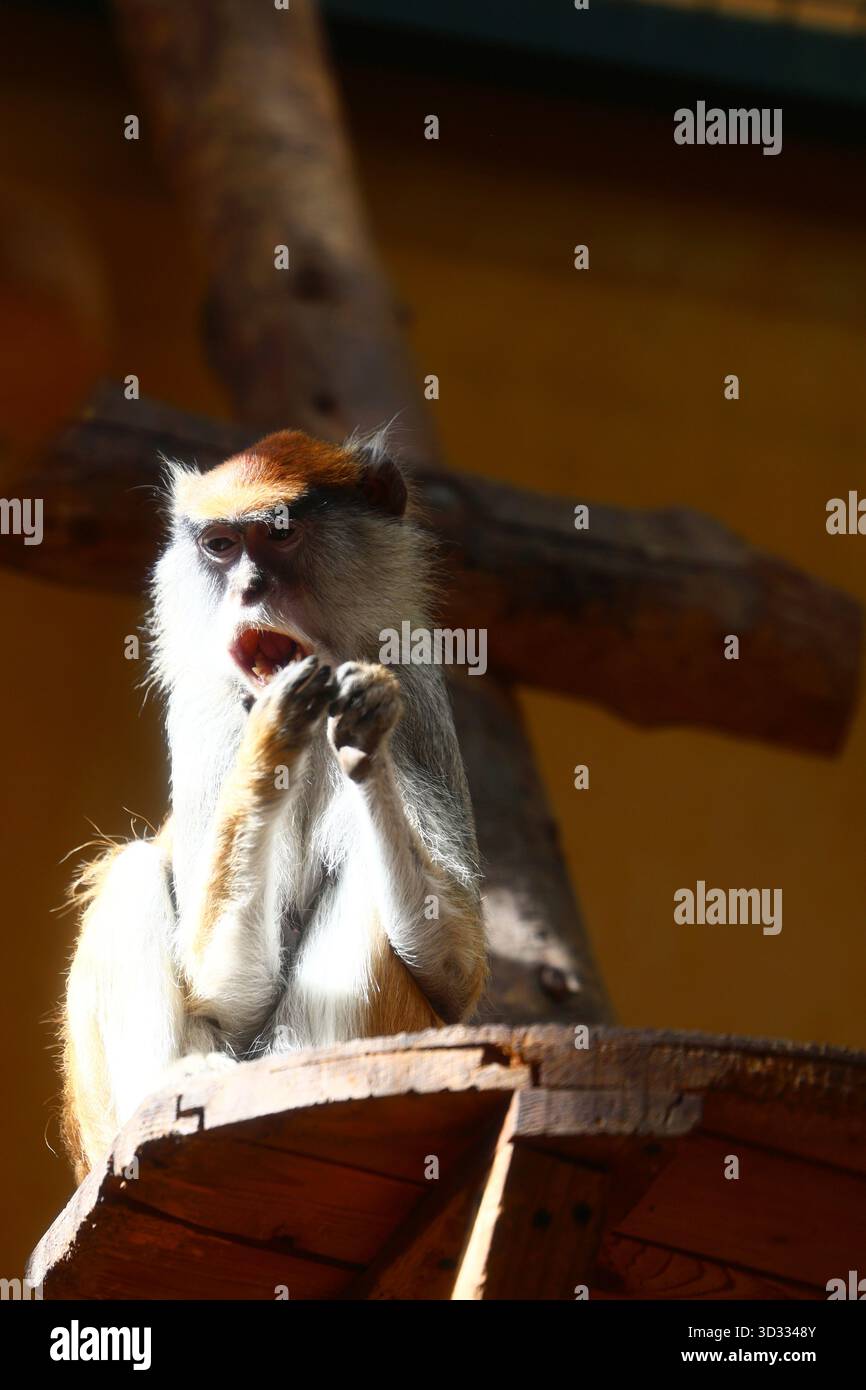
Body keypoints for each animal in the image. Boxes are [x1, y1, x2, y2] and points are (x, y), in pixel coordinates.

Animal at [60, 428, 487, 1182]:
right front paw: (274, 734)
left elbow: (454, 970)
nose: (249, 586)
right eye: (220, 546)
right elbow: (225, 982)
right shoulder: (200, 715)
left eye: (281, 534)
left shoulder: (420, 686)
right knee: (135, 870)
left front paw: (364, 742)